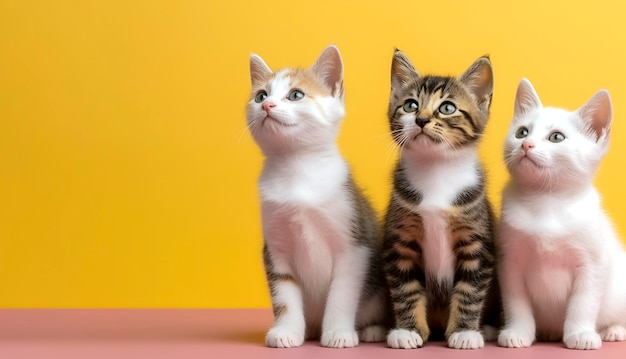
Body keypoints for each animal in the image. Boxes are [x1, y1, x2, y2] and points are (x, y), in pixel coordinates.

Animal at [245, 45, 388, 348]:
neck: (297, 171)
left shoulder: (354, 246)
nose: (267, 106)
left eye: (296, 94)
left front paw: (338, 333)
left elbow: (342, 295)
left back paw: (373, 329)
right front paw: (286, 331)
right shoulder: (275, 248)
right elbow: (284, 295)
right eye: (260, 95)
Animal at [380, 49, 498, 350]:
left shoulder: (476, 243)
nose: (421, 119)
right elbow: (405, 288)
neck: (436, 172)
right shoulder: (400, 241)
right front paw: (407, 330)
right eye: (410, 105)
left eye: (447, 108)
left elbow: (470, 290)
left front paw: (465, 332)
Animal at [494, 79, 620, 352]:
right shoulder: (509, 261)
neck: (546, 202)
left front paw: (581, 333)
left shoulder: (592, 263)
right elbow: (516, 302)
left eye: (556, 137)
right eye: (522, 132)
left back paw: (613, 330)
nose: (526, 145)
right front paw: (518, 332)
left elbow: (583, 302)